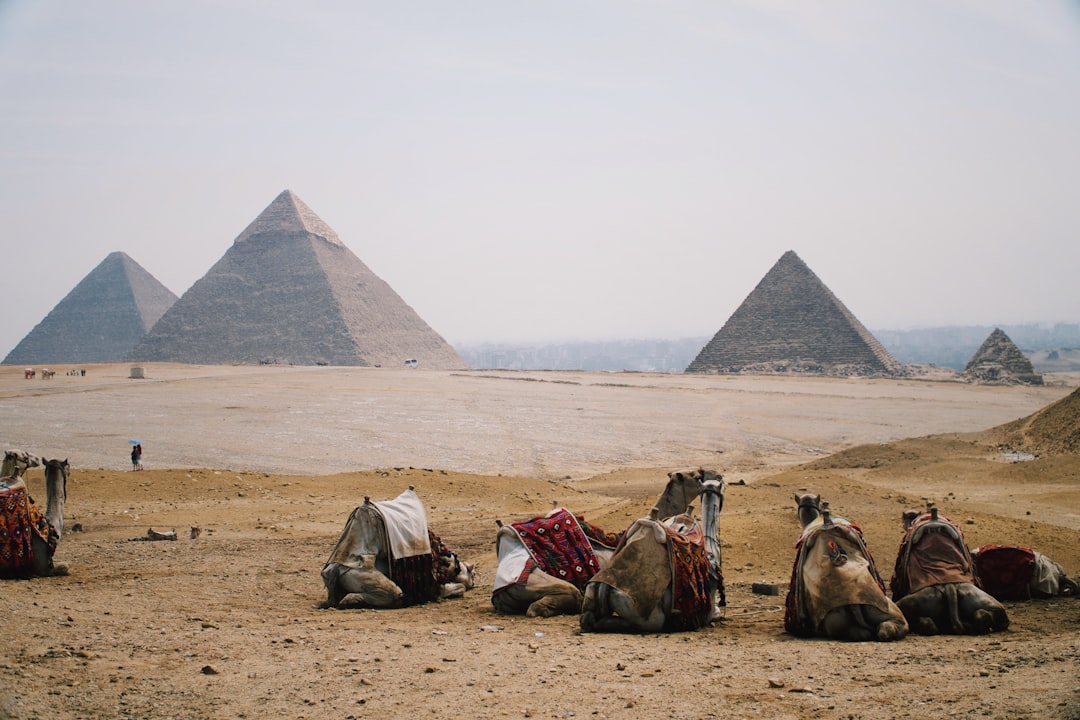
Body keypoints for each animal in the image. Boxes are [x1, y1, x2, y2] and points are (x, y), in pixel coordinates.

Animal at [317, 487, 475, 613]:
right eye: (471, 572)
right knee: (394, 594)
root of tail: (337, 569)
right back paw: (351, 601)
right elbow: (459, 587)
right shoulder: (435, 587)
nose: (474, 581)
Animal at [583, 472, 725, 634]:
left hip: (590, 591)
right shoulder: (709, 610)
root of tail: (605, 586)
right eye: (696, 476)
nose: (717, 474)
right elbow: (716, 612)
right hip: (648, 616)